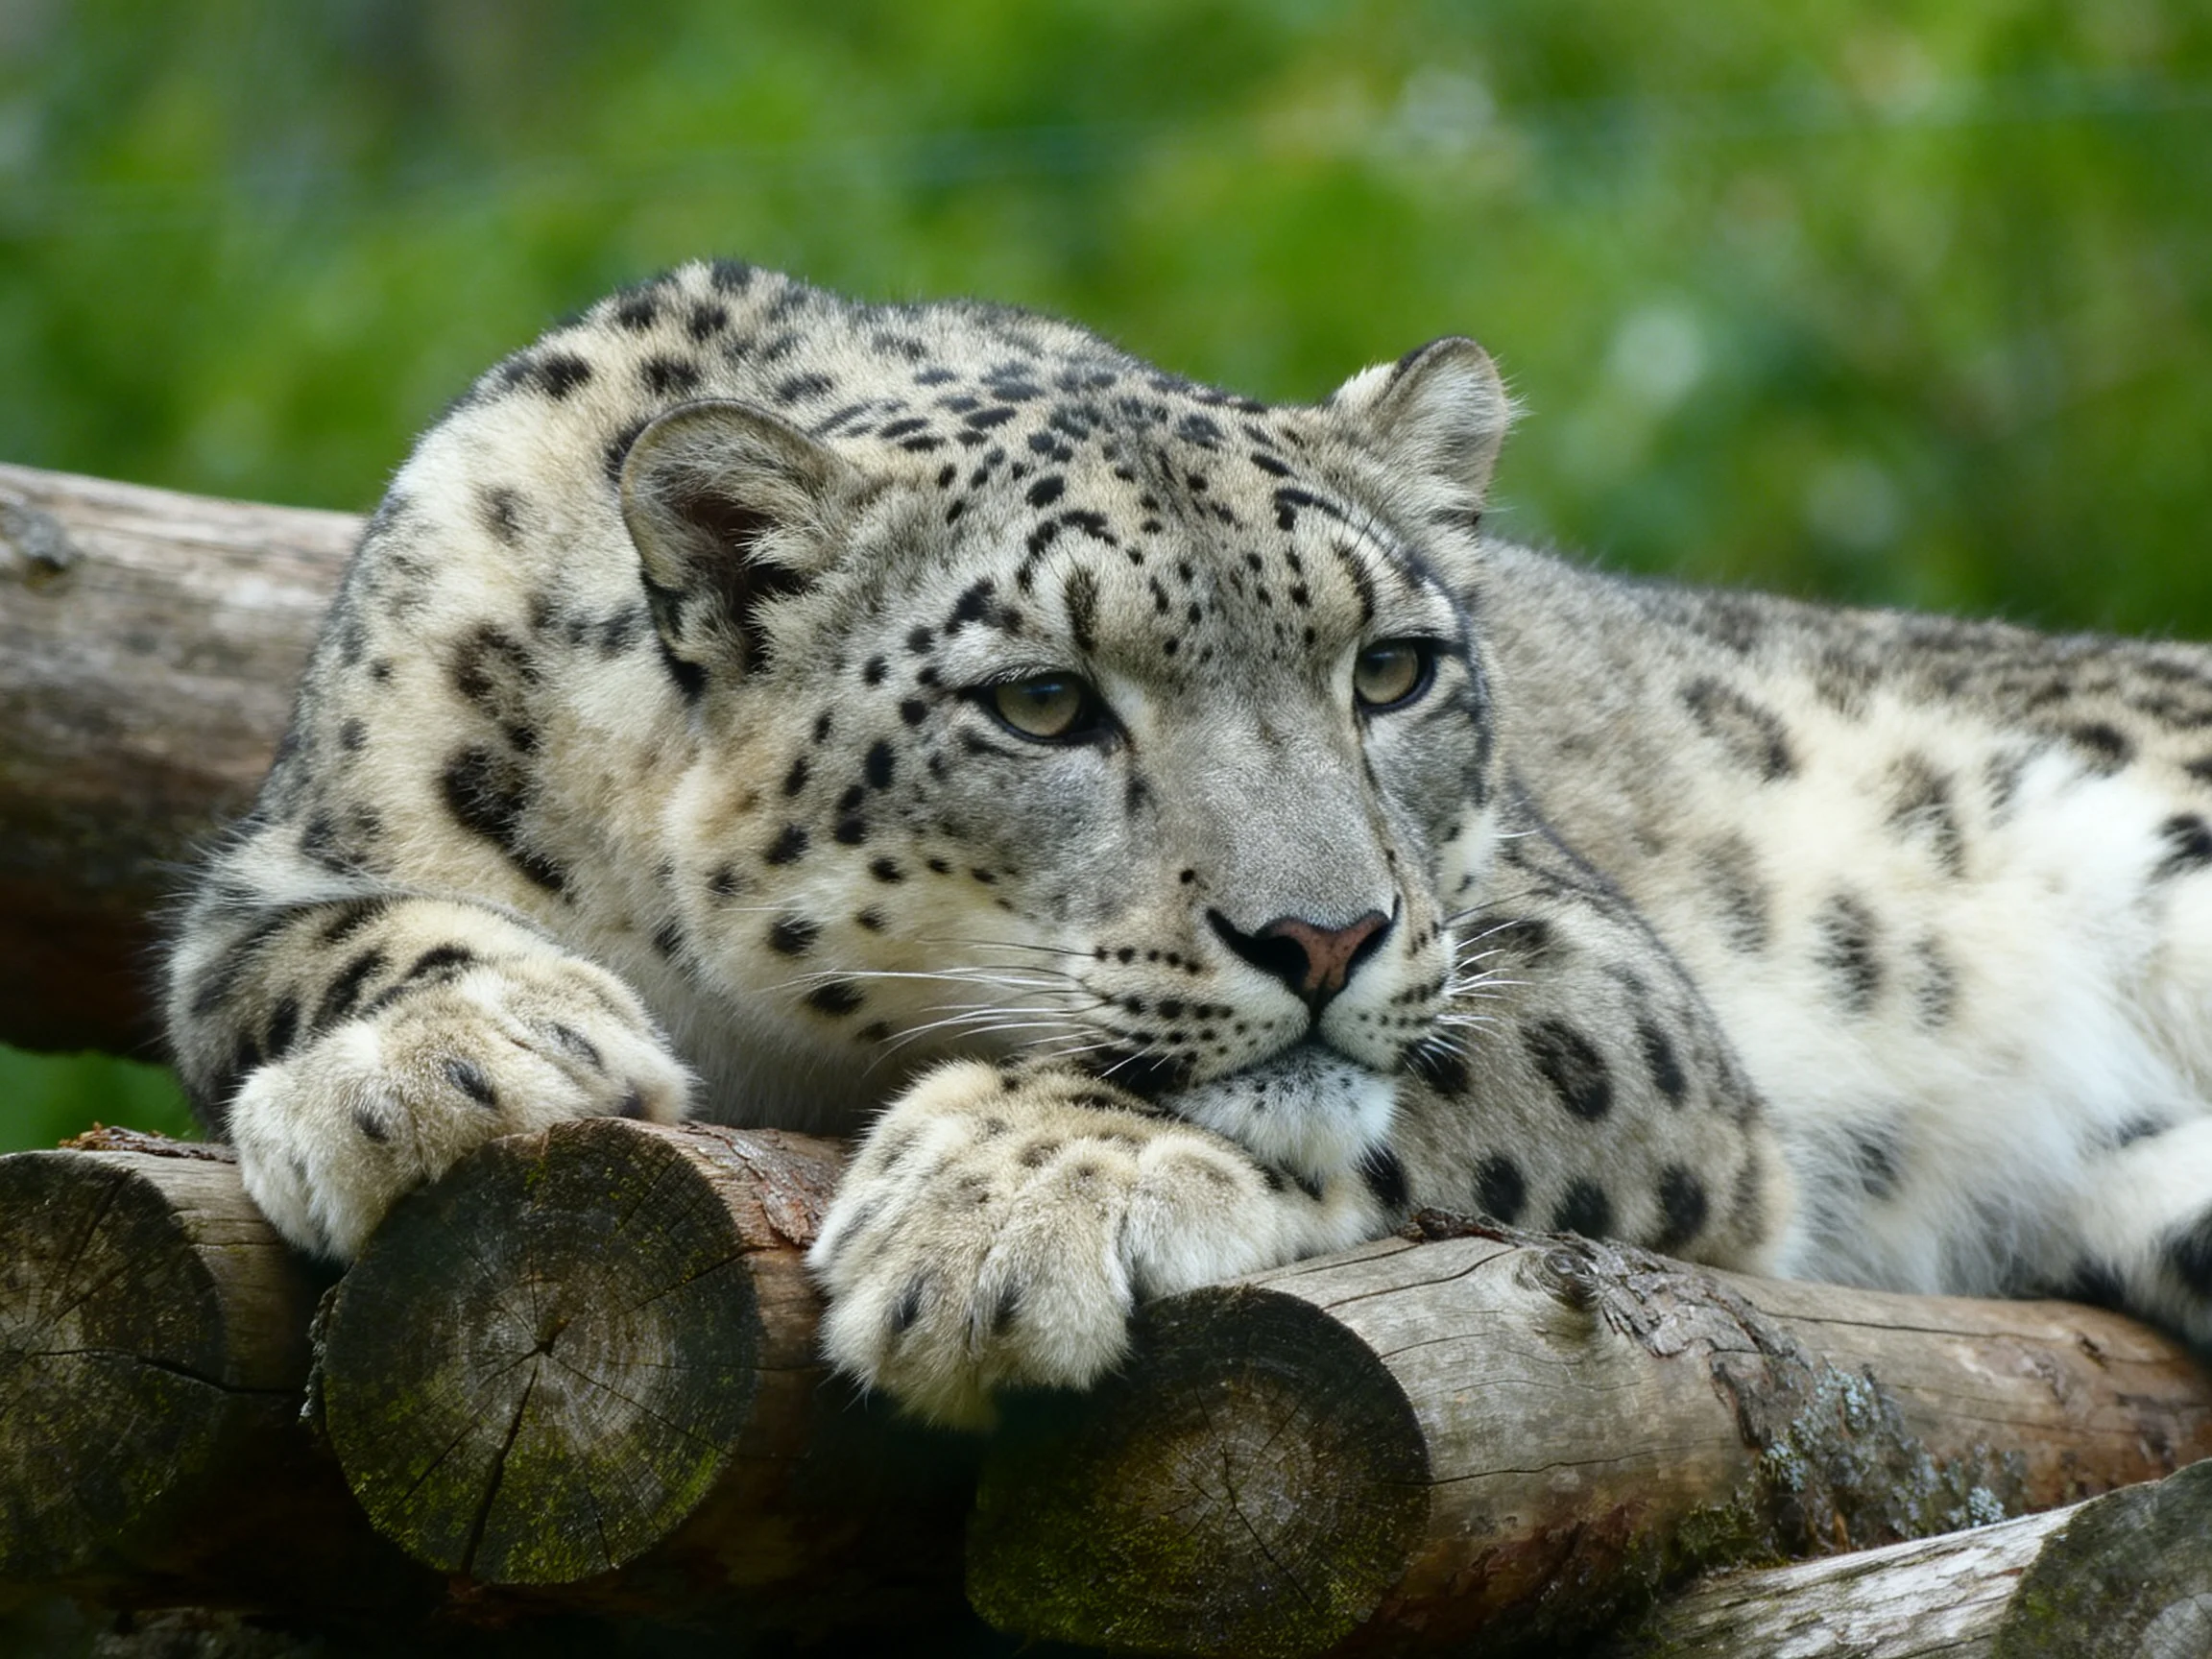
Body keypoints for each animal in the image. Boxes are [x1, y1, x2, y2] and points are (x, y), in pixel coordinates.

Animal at [165, 259, 2212, 1427]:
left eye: (1388, 666)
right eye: (1042, 701)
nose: (1323, 933)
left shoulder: (1608, 986)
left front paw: (1003, 1208)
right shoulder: (270, 869)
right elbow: (308, 949)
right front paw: (432, 1064)